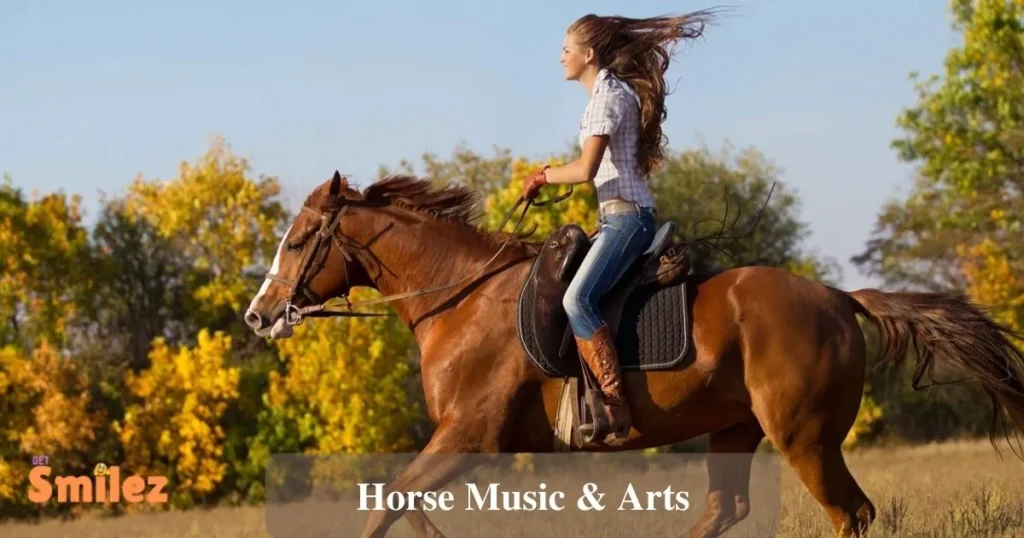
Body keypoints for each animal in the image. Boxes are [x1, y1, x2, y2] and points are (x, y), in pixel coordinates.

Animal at [244, 171, 1024, 538]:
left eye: (299, 238)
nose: (259, 315)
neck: (460, 297)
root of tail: (838, 296)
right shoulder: (458, 443)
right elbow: (400, 505)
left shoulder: (470, 436)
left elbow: (386, 505)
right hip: (735, 429)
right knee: (725, 510)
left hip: (803, 438)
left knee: (851, 514)